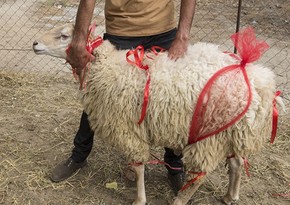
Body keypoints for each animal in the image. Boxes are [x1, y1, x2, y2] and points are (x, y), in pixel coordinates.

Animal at [32, 23, 284, 204]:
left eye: (64, 36)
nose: (34, 43)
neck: (109, 69)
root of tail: (259, 82)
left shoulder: (128, 128)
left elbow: (139, 165)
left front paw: (139, 199)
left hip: (210, 134)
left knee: (200, 175)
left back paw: (180, 200)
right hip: (231, 131)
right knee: (237, 163)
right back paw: (230, 196)